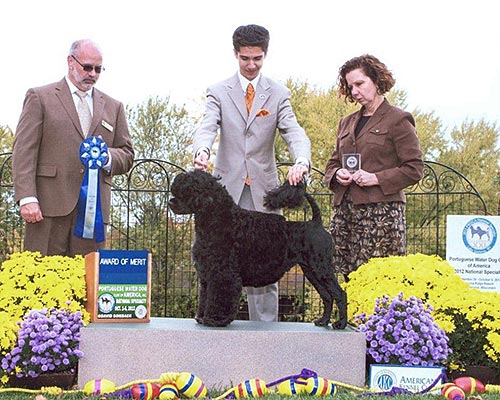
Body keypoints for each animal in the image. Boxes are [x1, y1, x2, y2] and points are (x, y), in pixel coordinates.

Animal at [169, 169, 348, 328]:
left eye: (189, 188)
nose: (171, 201)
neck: (219, 219)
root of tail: (316, 222)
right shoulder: (207, 274)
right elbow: (205, 297)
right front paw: (201, 317)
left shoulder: (223, 273)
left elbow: (219, 297)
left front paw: (215, 320)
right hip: (312, 271)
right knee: (327, 296)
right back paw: (323, 321)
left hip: (322, 269)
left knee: (339, 294)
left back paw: (340, 324)